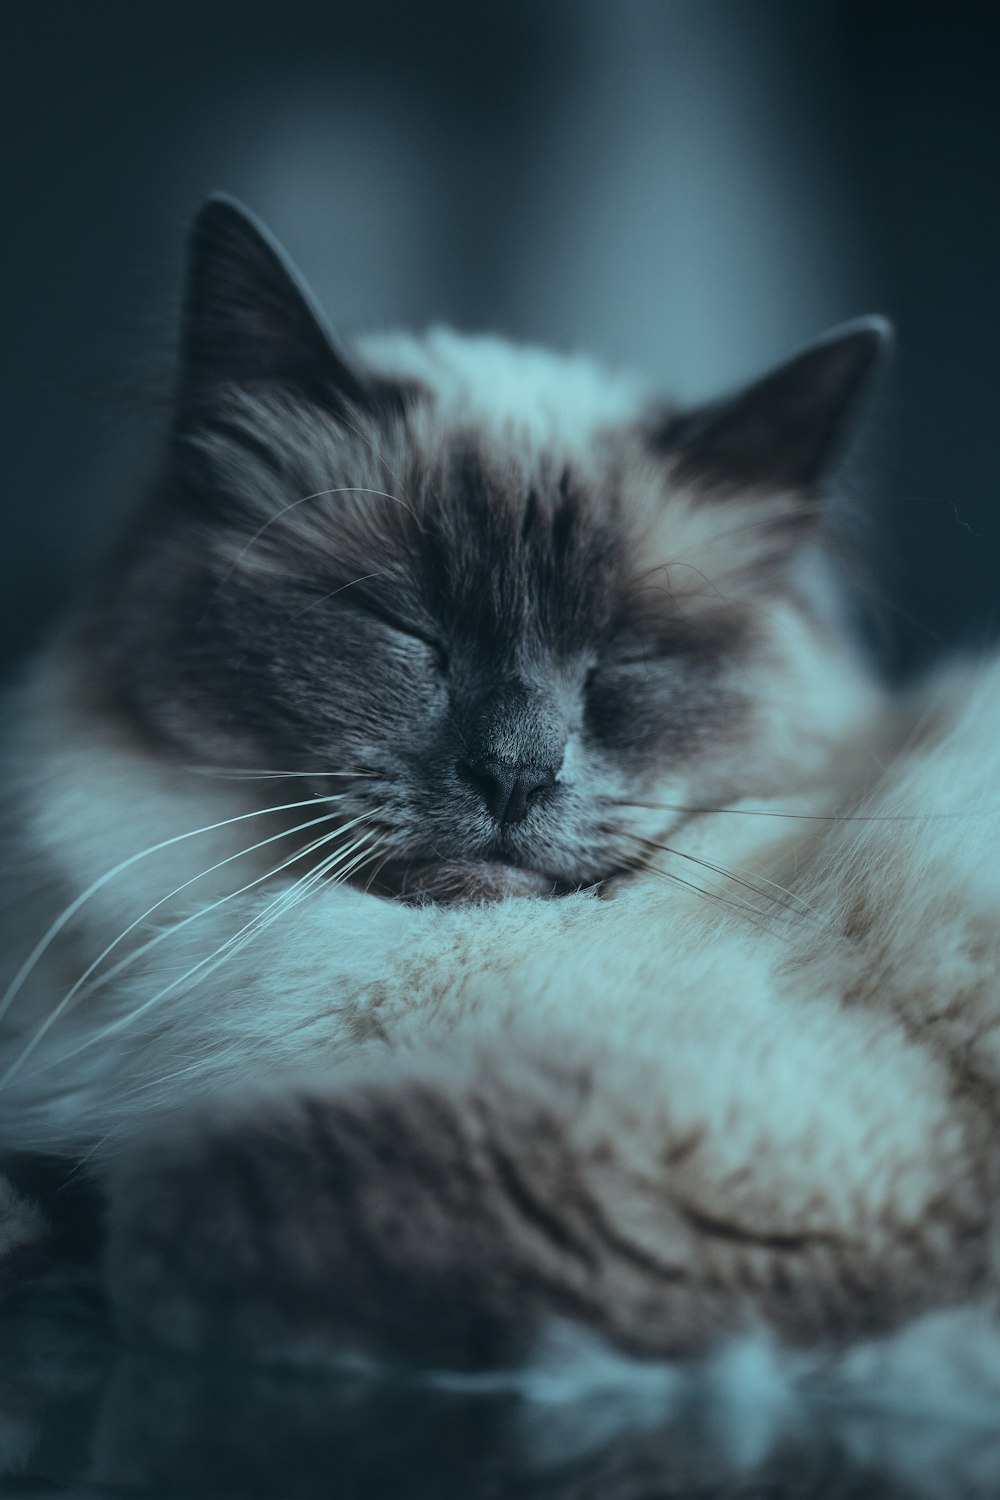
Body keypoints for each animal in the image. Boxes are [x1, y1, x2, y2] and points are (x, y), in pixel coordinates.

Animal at [1, 196, 1000, 1392]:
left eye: (623, 662)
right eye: (404, 630)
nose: (515, 772)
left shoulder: (767, 1142)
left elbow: (185, 1200)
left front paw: (82, 1212)